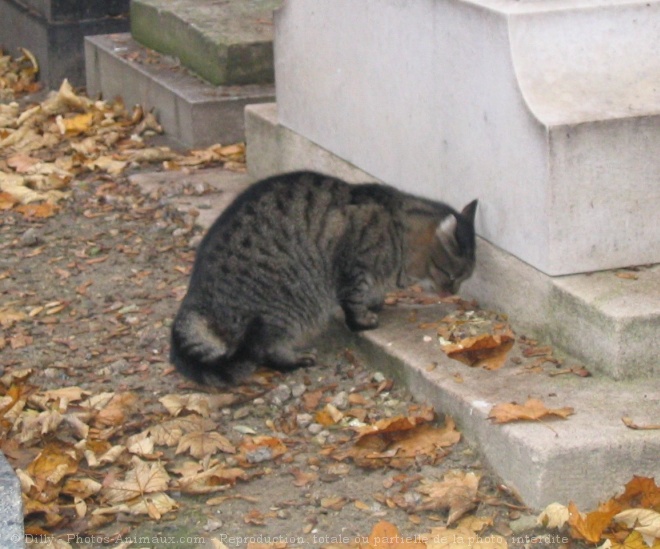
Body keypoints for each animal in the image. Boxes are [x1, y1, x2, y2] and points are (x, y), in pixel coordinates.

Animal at [173, 170, 476, 382]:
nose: (452, 292)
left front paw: (376, 301)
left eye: (463, 278)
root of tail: (195, 298)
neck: (398, 232)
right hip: (283, 307)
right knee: (264, 349)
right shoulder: (354, 268)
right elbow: (353, 302)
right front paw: (363, 319)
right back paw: (294, 360)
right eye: (450, 275)